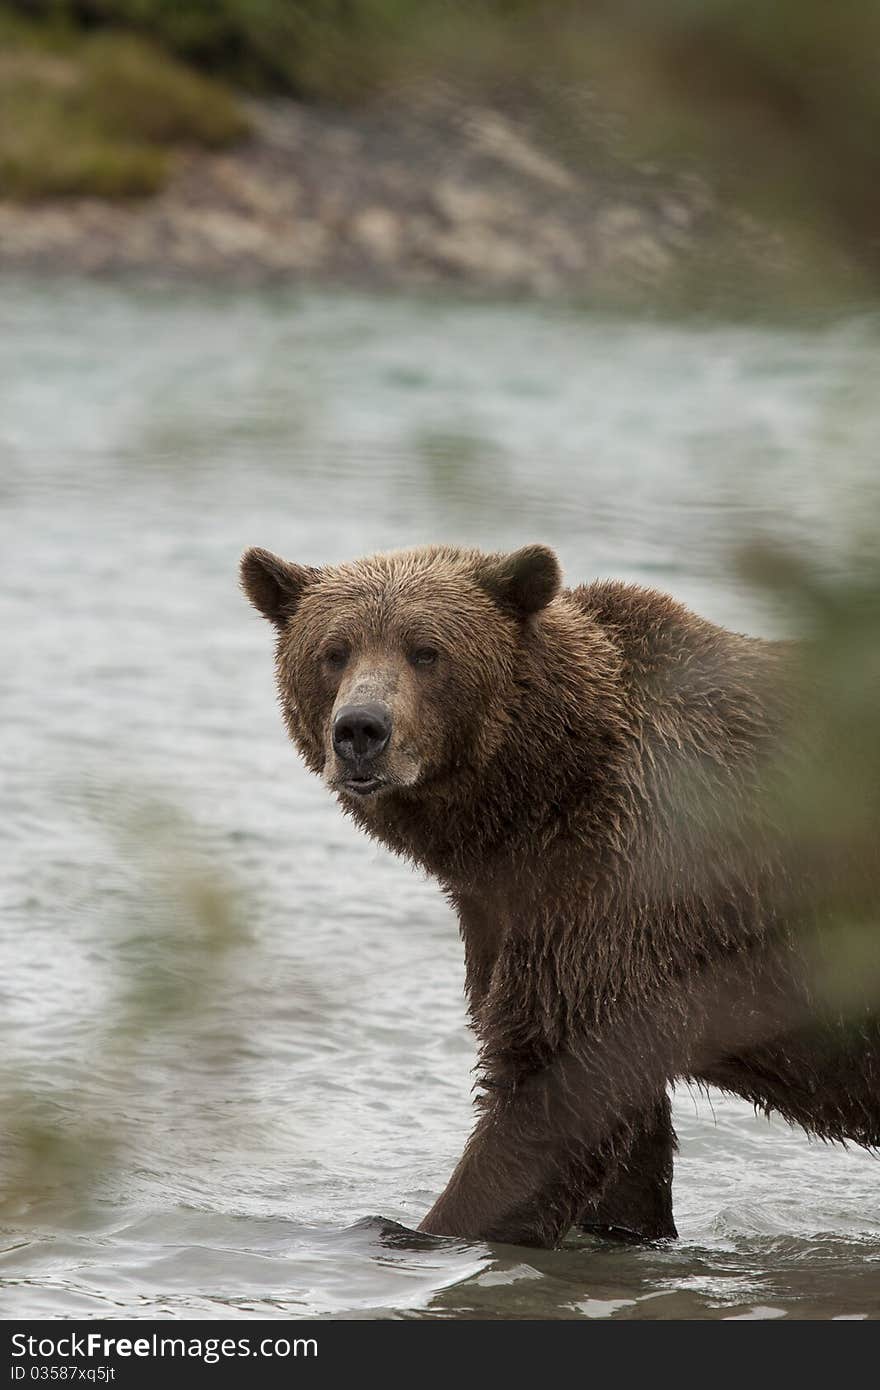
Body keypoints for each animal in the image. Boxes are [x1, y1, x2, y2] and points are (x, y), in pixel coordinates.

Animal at [240, 542, 878, 1251]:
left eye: (426, 651)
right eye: (335, 650)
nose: (360, 730)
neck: (538, 797)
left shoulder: (624, 882)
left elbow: (555, 1091)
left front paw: (415, 1226)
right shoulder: (519, 916)